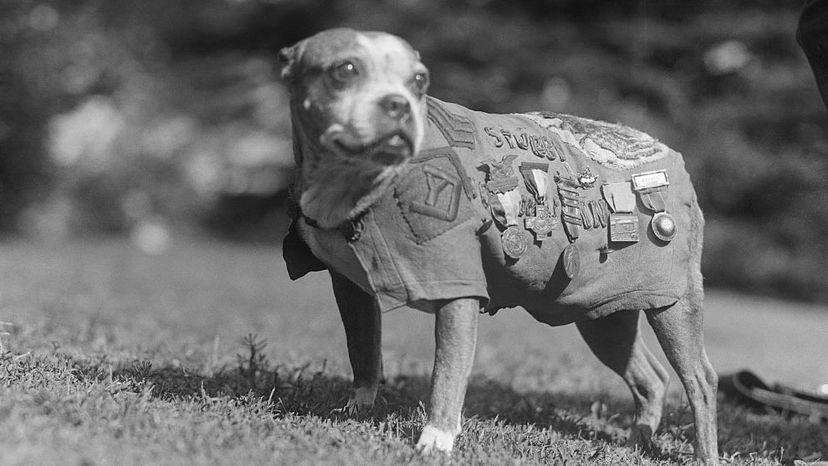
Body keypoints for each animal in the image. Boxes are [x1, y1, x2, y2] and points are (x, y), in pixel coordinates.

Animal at [278, 28, 720, 462]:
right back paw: (637, 441)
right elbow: (363, 350)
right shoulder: (350, 288)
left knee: (700, 380)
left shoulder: (457, 290)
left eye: (419, 80)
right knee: (651, 378)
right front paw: (358, 409)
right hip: (603, 314)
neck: (355, 185)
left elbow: (447, 370)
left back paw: (703, 452)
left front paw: (435, 440)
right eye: (345, 70)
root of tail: (671, 156)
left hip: (674, 305)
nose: (398, 104)